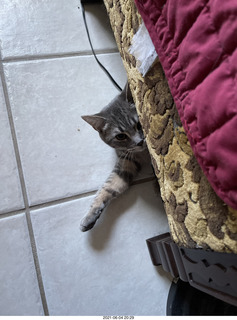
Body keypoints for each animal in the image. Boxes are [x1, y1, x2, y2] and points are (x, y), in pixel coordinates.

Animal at [80, 84, 149, 231]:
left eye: (139, 124)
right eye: (120, 136)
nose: (140, 142)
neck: (143, 153)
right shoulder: (127, 163)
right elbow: (108, 187)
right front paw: (90, 215)